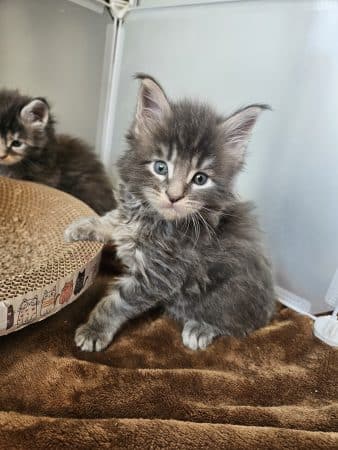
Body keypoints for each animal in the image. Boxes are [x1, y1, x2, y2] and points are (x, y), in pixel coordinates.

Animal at [64, 74, 276, 352]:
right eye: (161, 167)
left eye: (200, 179)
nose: (174, 196)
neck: (150, 217)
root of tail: (270, 305)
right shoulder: (128, 214)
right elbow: (113, 218)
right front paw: (82, 226)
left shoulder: (159, 274)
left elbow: (117, 302)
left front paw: (95, 330)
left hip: (228, 296)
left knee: (237, 324)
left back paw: (200, 328)